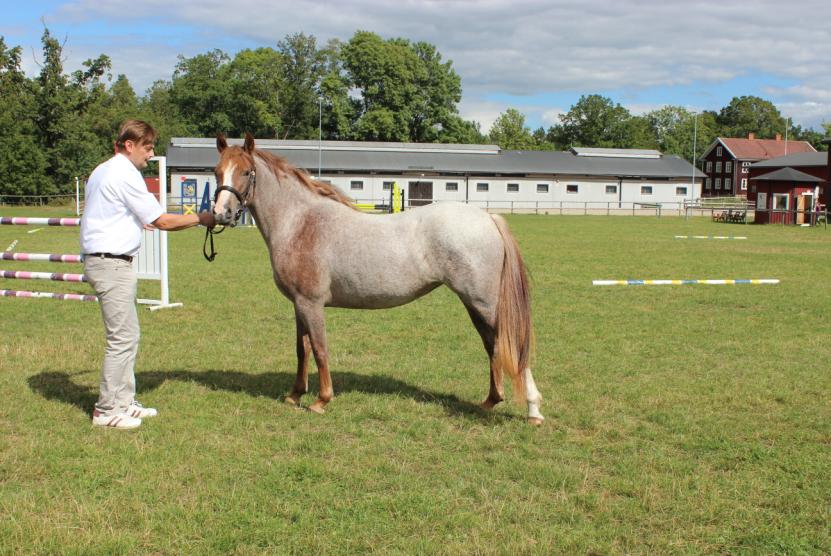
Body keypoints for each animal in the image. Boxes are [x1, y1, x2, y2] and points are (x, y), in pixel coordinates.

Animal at [213, 132, 544, 424]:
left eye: (246, 172)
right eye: (217, 172)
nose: (221, 213)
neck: (302, 223)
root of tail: (488, 218)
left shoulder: (311, 304)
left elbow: (320, 349)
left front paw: (321, 400)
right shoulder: (298, 304)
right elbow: (301, 349)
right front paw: (295, 395)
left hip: (485, 304)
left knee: (513, 347)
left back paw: (533, 411)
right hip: (475, 304)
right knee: (493, 345)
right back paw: (491, 400)